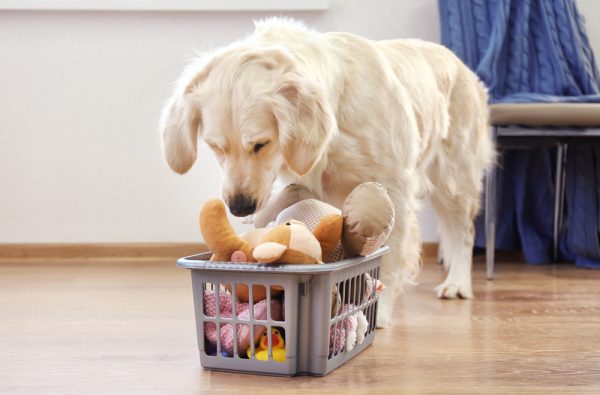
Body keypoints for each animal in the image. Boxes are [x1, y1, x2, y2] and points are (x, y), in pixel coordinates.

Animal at [162, 17, 494, 328]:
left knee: (463, 233)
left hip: (454, 176)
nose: (239, 207)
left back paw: (457, 283)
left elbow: (388, 255)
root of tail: (457, 60)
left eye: (260, 144)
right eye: (215, 147)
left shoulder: (394, 187)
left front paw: (379, 309)